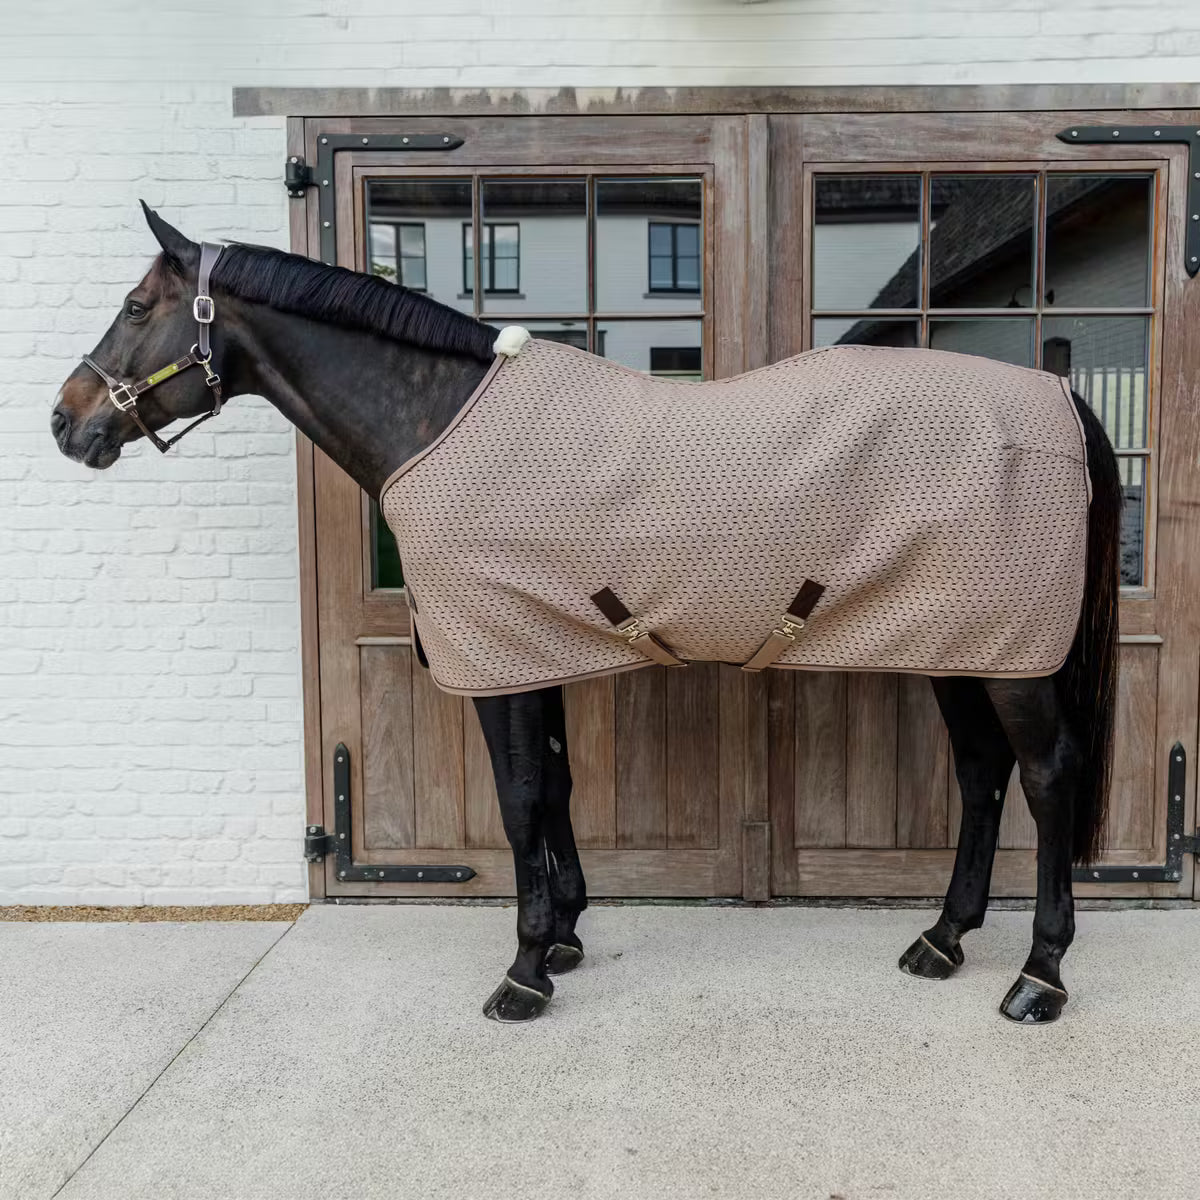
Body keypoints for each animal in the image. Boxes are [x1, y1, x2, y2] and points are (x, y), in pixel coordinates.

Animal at [52, 204, 1123, 1025]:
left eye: (137, 306)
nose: (67, 422)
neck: (441, 418)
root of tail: (1059, 396)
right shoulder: (535, 649)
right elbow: (557, 790)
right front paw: (565, 935)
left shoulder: (498, 658)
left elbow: (521, 799)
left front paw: (524, 973)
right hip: (965, 645)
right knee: (982, 775)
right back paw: (944, 939)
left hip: (1012, 660)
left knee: (1046, 777)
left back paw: (1039, 976)